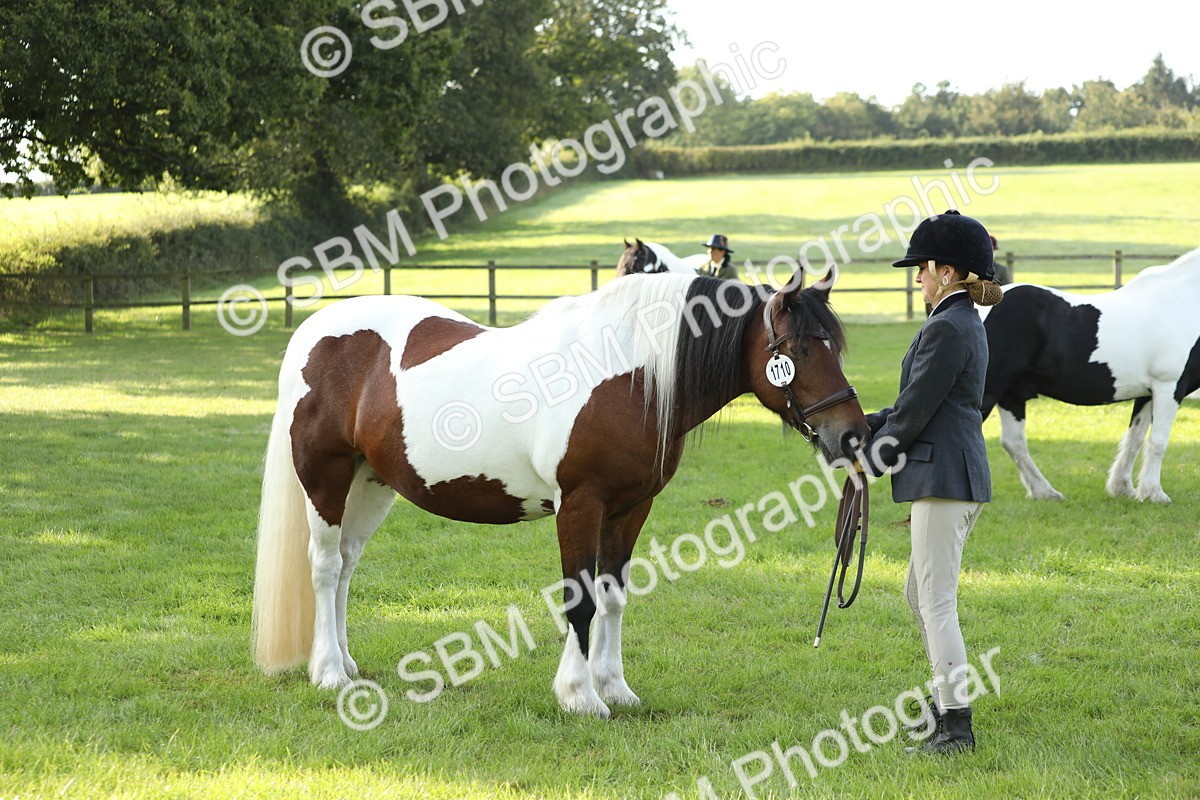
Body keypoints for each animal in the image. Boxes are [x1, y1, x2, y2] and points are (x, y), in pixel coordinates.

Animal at [251, 269, 869, 717]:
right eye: (800, 350)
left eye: (834, 345)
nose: (853, 435)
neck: (629, 376)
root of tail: (314, 331)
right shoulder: (580, 505)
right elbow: (582, 598)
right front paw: (580, 697)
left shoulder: (630, 508)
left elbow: (614, 595)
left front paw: (615, 688)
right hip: (326, 479)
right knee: (326, 566)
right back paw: (329, 673)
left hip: (370, 484)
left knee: (347, 567)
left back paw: (346, 663)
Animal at [979, 247, 1200, 503]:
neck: (1182, 302)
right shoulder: (1169, 387)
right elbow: (1158, 441)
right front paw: (1154, 493)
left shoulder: (1147, 393)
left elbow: (1134, 439)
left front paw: (1122, 488)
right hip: (988, 392)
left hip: (1010, 394)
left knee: (1014, 443)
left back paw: (1045, 492)